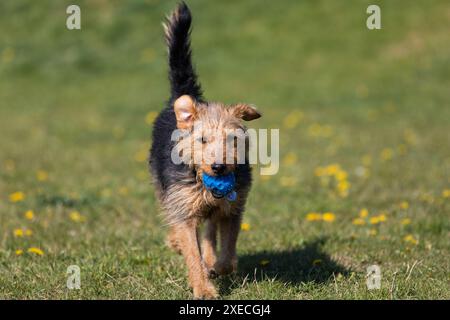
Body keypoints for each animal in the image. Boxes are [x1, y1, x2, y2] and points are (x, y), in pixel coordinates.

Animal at [149, 1, 260, 300]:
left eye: (233, 139)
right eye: (202, 140)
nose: (219, 167)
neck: (201, 179)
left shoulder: (234, 206)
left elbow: (227, 245)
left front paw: (219, 266)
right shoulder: (184, 208)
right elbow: (191, 250)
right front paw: (203, 288)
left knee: (210, 231)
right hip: (164, 188)